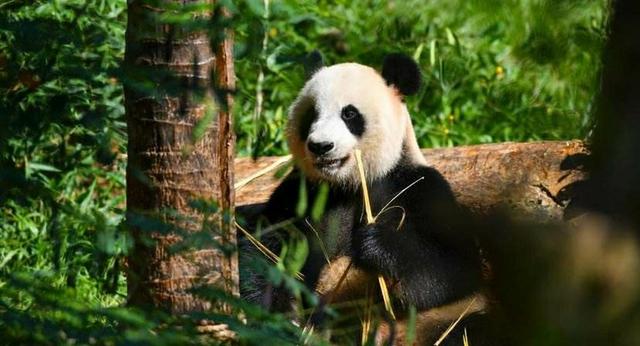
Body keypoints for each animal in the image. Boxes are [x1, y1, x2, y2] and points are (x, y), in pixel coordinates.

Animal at [240, 52, 500, 344]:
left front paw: (375, 244)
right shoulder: (301, 191)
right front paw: (276, 319)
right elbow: (264, 246)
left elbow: (456, 266)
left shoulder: (419, 188)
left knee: (473, 326)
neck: (349, 184)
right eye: (312, 114)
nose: (321, 146)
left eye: (349, 114)